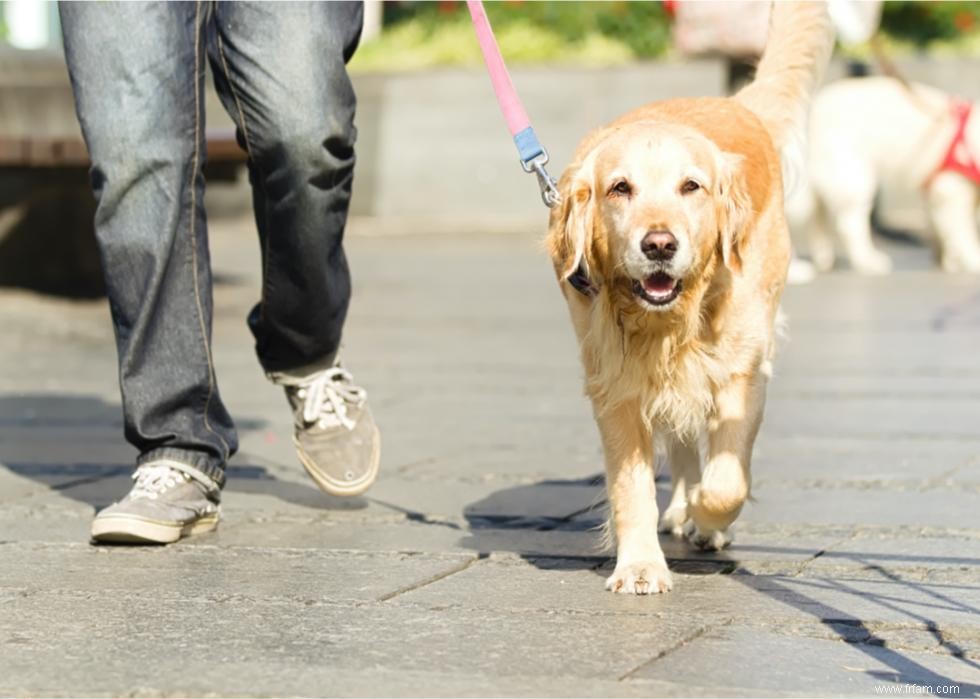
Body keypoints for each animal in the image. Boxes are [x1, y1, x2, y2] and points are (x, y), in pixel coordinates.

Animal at [548, 4, 832, 596]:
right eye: (620, 188)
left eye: (691, 187)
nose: (659, 244)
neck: (668, 323)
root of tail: (735, 103)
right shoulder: (616, 386)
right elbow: (631, 486)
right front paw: (639, 565)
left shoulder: (743, 373)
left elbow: (728, 481)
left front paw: (708, 514)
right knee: (679, 441)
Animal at [792, 76, 980, 274]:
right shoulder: (952, 191)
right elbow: (963, 233)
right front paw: (972, 260)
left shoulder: (937, 194)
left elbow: (944, 230)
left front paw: (950, 260)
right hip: (854, 177)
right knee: (849, 224)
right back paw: (867, 261)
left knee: (818, 218)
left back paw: (825, 259)